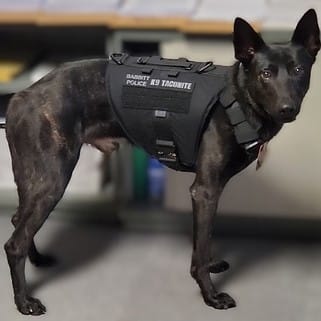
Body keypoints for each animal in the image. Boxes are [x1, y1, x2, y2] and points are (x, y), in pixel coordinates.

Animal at [1, 8, 318, 316]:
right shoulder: (204, 191)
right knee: (14, 242)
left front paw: (211, 263)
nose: (288, 109)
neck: (238, 99)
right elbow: (200, 250)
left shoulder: (209, 193)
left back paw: (37, 260)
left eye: (299, 71)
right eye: (265, 74)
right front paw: (211, 296)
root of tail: (20, 96)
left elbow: (203, 241)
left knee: (19, 222)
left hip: (33, 180)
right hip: (52, 181)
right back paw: (24, 301)